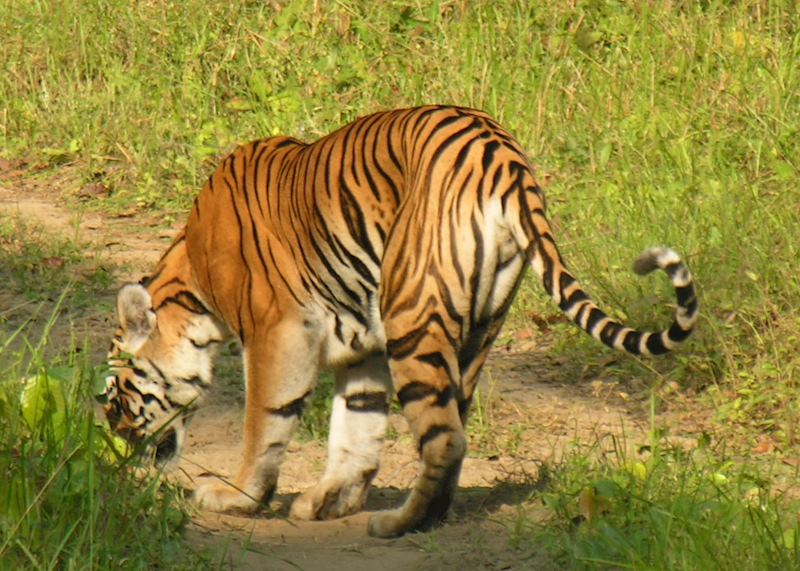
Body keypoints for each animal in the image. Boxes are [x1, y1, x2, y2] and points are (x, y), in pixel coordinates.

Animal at [101, 105, 698, 538]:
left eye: (114, 396)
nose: (117, 449)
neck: (193, 284)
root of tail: (502, 154)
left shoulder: (280, 332)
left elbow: (265, 422)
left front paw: (238, 497)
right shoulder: (362, 342)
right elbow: (358, 426)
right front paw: (329, 500)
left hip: (412, 314)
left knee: (445, 439)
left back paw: (398, 523)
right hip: (479, 326)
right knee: (454, 426)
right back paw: (427, 515)